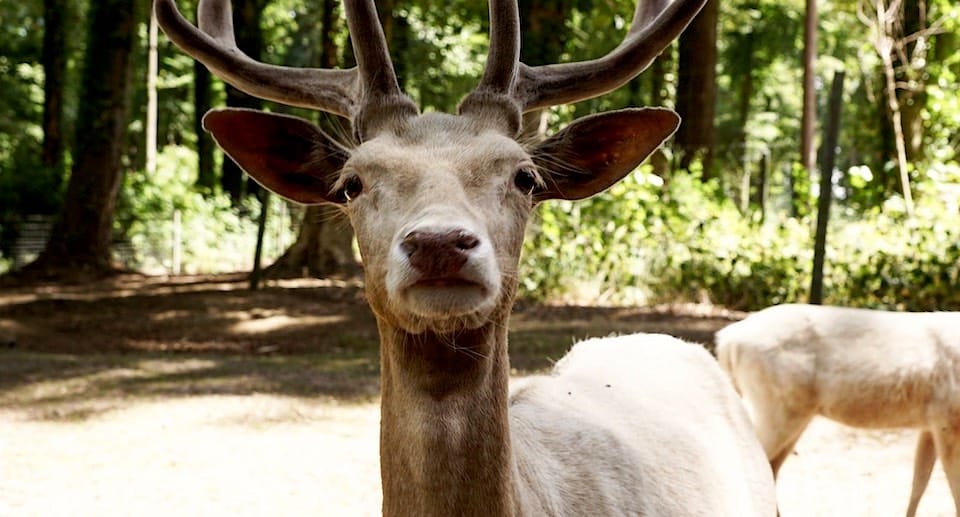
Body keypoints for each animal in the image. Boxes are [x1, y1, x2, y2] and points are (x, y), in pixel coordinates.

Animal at [712, 302, 960, 516]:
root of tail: (726, 341)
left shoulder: (930, 423)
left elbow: (919, 484)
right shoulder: (947, 418)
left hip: (792, 412)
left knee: (770, 467)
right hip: (778, 407)